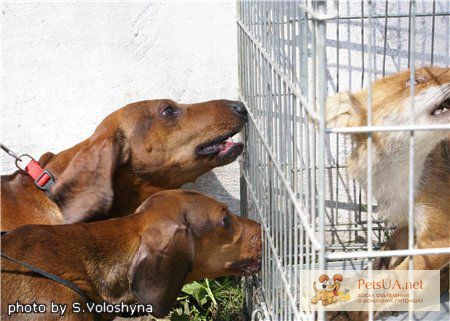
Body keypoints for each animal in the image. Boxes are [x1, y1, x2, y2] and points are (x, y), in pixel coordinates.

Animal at [237, 0, 448, 320]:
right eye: (416, 80)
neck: (401, 179)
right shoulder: (410, 224)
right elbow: (381, 264)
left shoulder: (437, 240)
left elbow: (386, 285)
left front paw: (348, 309)